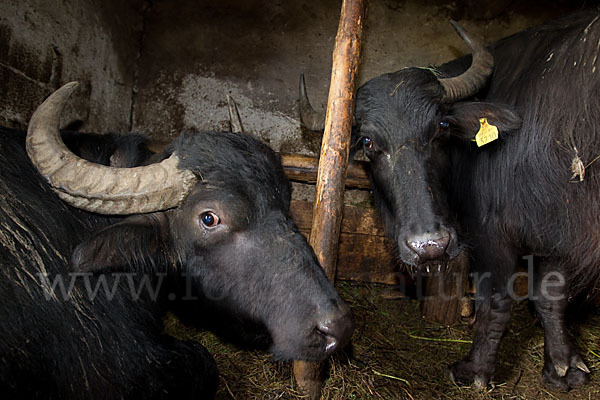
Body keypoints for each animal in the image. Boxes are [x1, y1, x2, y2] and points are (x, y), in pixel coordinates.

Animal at [302, 11, 596, 390]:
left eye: (441, 126)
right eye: (368, 142)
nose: (429, 246)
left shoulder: (499, 233)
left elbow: (497, 299)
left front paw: (475, 370)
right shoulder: (557, 235)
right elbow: (551, 295)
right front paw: (563, 366)